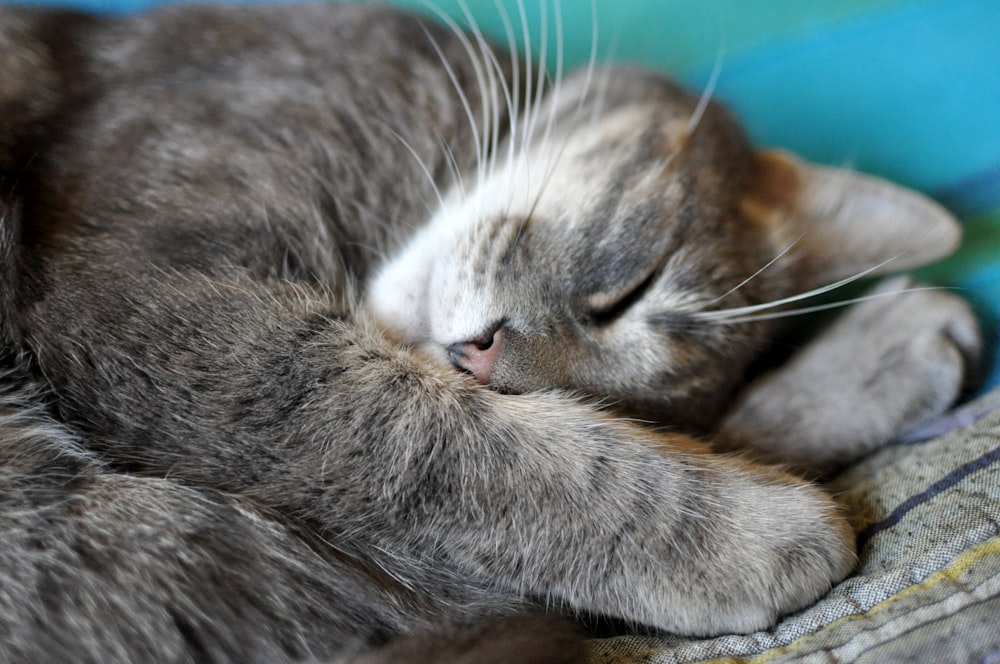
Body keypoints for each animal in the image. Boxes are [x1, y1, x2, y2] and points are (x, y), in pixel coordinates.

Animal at [0, 2, 984, 660]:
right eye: (629, 292)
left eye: (614, 384)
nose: (482, 361)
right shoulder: (149, 297)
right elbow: (446, 442)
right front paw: (750, 532)